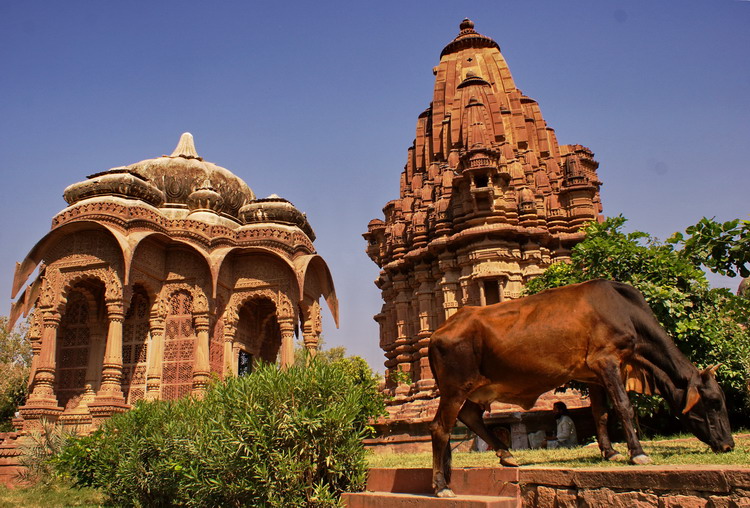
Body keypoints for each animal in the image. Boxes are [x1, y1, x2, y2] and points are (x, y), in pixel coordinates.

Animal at [428, 278, 736, 496]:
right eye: (714, 403)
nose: (728, 445)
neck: (624, 311)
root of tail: (438, 332)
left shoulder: (595, 376)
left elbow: (600, 412)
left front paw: (610, 452)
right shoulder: (607, 361)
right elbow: (624, 407)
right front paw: (637, 454)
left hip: (477, 391)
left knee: (470, 417)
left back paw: (507, 455)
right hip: (455, 390)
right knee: (440, 428)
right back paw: (442, 486)